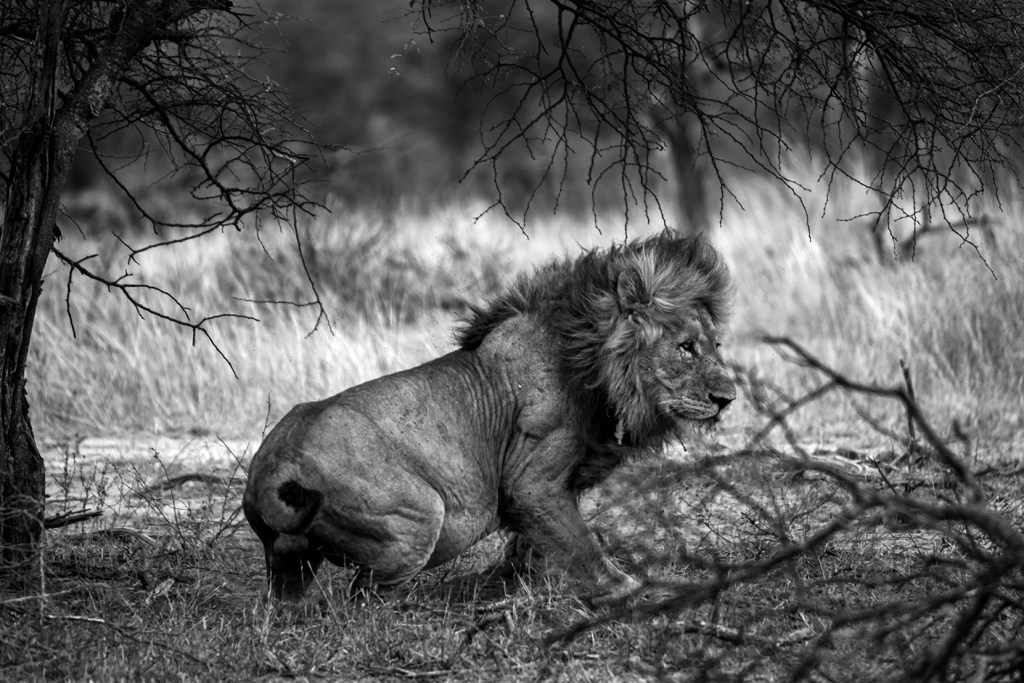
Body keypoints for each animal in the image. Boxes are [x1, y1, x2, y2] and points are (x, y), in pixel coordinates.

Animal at [243, 231, 735, 603]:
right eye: (686, 347)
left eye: (716, 346)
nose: (728, 398)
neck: (594, 369)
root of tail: (274, 465)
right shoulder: (530, 482)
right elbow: (581, 543)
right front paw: (628, 588)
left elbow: (534, 545)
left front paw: (513, 585)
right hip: (420, 517)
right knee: (361, 596)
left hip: (291, 560)